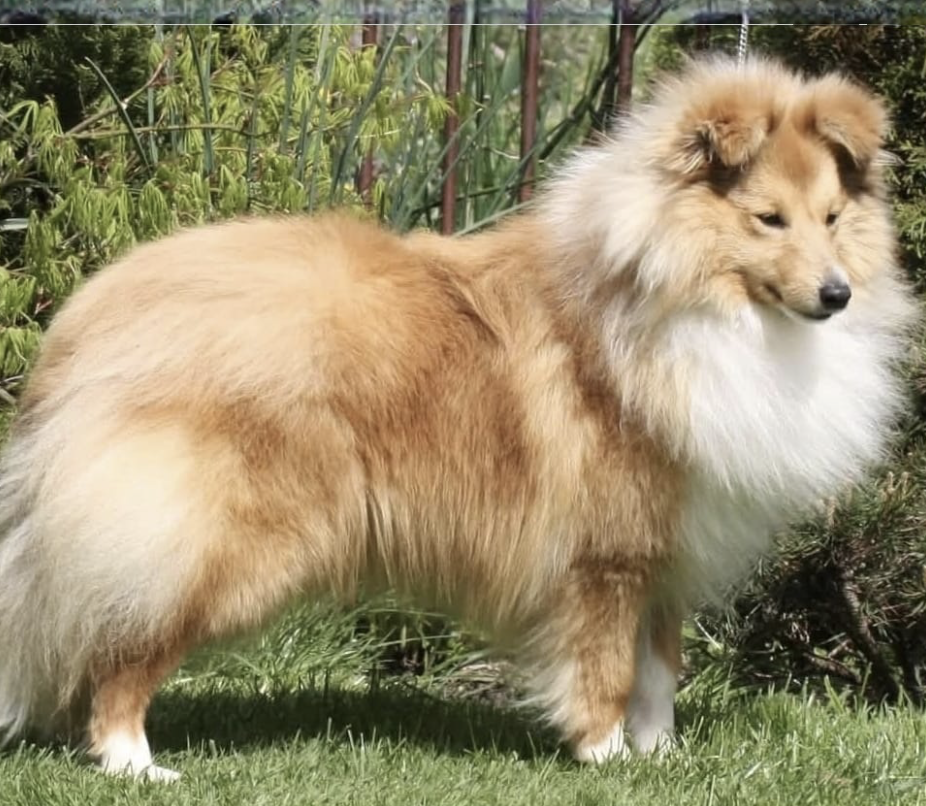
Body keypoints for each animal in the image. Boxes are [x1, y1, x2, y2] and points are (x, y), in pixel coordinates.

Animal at [0, 57, 917, 780]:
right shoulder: (606, 556)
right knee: (125, 652)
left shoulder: (667, 548)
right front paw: (604, 756)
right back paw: (134, 763)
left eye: (833, 218)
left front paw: (661, 759)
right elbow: (608, 668)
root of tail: (92, 318)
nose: (836, 294)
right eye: (768, 219)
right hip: (220, 542)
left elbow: (659, 669)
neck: (679, 298)